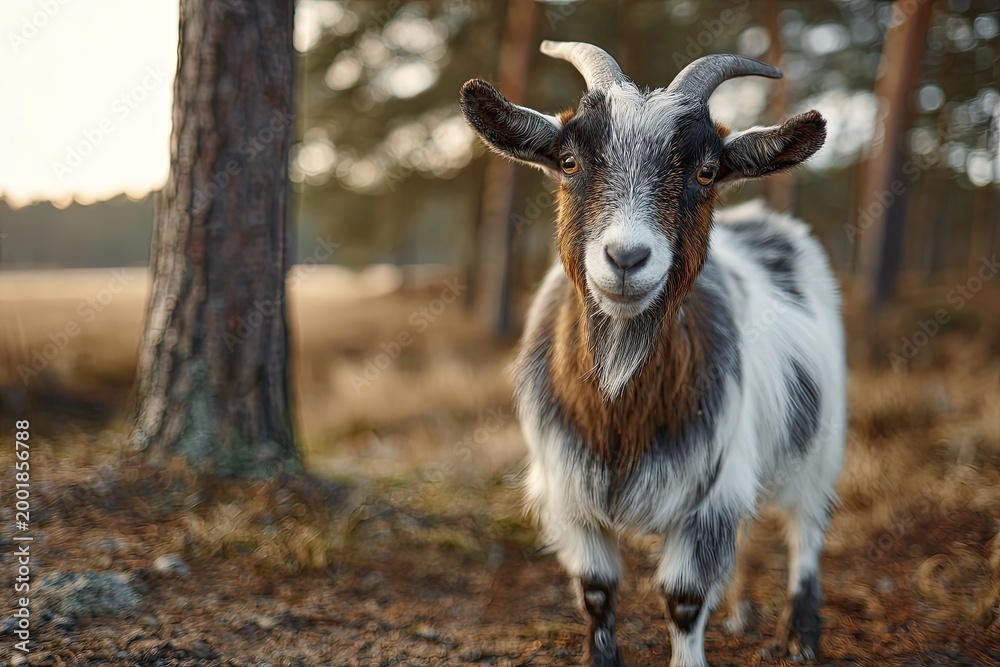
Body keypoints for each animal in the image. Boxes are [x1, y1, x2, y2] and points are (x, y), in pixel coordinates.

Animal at [460, 41, 845, 667]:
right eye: (569, 162)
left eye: (706, 172)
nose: (626, 258)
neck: (621, 409)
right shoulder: (569, 491)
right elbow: (596, 590)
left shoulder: (709, 495)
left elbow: (684, 598)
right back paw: (741, 613)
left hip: (821, 437)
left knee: (808, 524)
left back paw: (802, 636)